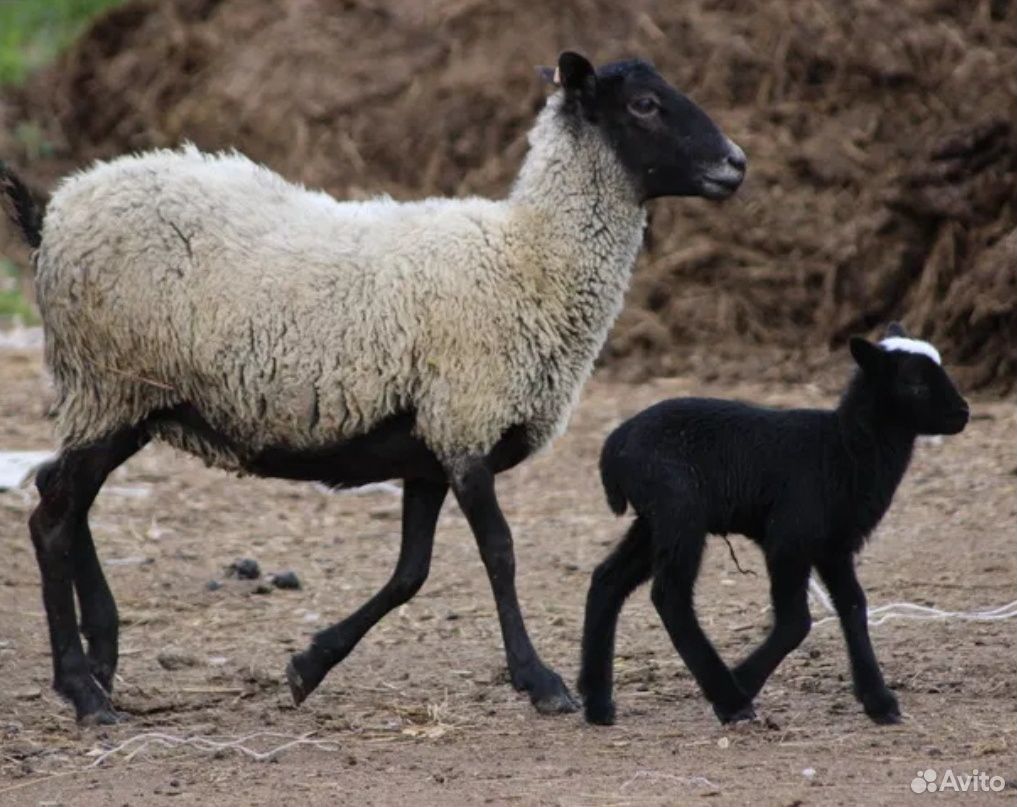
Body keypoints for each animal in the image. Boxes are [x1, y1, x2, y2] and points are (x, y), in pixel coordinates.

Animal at [1, 50, 748, 719]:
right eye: (644, 105)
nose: (736, 163)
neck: (529, 257)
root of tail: (53, 214)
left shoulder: (428, 447)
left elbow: (410, 573)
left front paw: (308, 665)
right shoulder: (466, 423)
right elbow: (500, 553)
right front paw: (540, 681)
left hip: (117, 396)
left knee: (60, 494)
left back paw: (102, 655)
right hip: (110, 384)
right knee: (51, 519)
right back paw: (84, 690)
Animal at [581, 323, 968, 727]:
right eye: (913, 382)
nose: (963, 413)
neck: (842, 449)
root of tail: (614, 447)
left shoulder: (834, 546)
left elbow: (853, 605)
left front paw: (879, 701)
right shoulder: (789, 537)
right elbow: (797, 621)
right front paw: (741, 683)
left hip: (654, 520)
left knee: (608, 579)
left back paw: (597, 702)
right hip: (679, 511)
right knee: (670, 595)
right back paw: (730, 697)